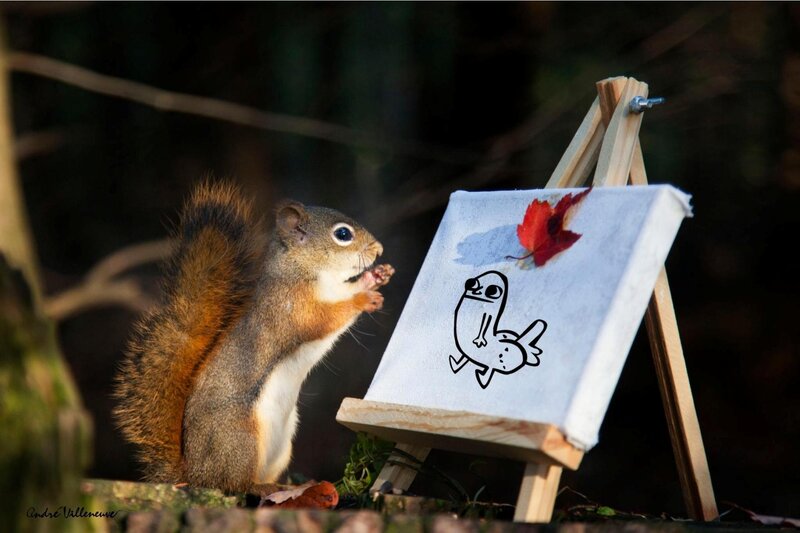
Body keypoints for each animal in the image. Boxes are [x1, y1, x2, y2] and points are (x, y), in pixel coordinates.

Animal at [113, 182, 394, 492]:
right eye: (343, 234)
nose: (379, 249)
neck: (304, 270)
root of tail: (195, 475)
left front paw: (376, 276)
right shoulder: (292, 307)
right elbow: (326, 318)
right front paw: (364, 298)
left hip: (282, 444)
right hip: (241, 439)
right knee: (235, 484)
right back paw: (262, 488)